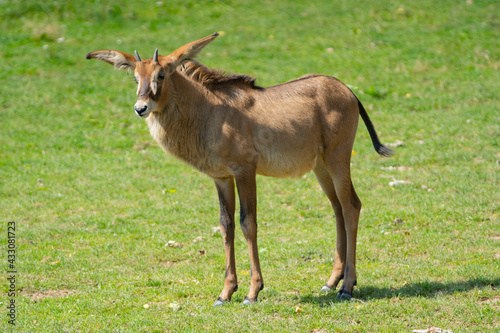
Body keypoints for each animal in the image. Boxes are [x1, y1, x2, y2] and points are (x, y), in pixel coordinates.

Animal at [89, 32, 394, 304]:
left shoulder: (244, 170)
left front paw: (252, 292)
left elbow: (248, 223)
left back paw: (348, 287)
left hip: (338, 158)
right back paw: (332, 282)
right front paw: (225, 293)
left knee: (351, 206)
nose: (141, 107)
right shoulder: (222, 177)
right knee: (338, 209)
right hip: (321, 167)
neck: (209, 111)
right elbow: (226, 225)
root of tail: (348, 90)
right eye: (135, 77)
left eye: (161, 75)